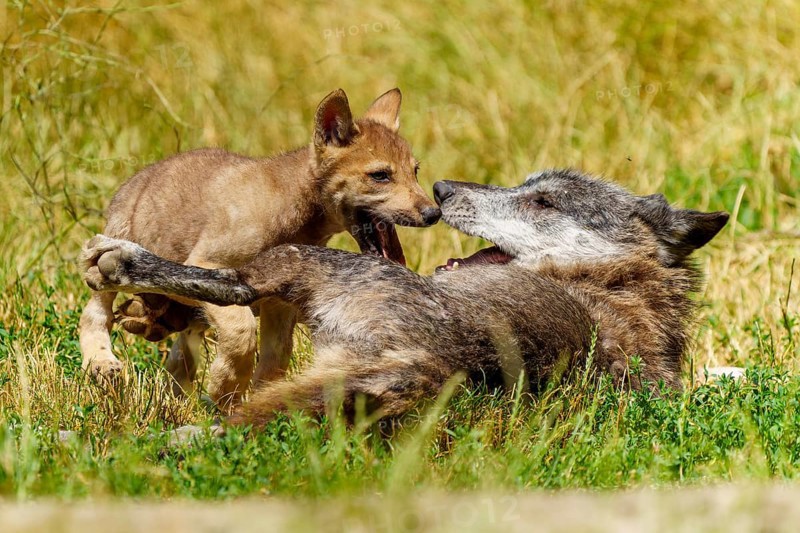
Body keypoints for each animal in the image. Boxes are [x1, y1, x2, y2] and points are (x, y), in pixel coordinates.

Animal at [78, 88, 441, 410]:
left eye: (415, 171)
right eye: (380, 175)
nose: (433, 213)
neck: (293, 209)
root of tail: (135, 180)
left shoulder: (279, 303)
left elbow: (274, 359)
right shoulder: (209, 264)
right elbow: (242, 333)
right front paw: (226, 386)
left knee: (178, 357)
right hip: (109, 257)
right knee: (94, 315)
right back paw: (102, 362)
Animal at [81, 169, 729, 427]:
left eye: (544, 202)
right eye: (526, 183)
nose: (441, 190)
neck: (606, 279)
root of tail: (430, 364)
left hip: (300, 261)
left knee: (232, 283)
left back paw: (119, 262)